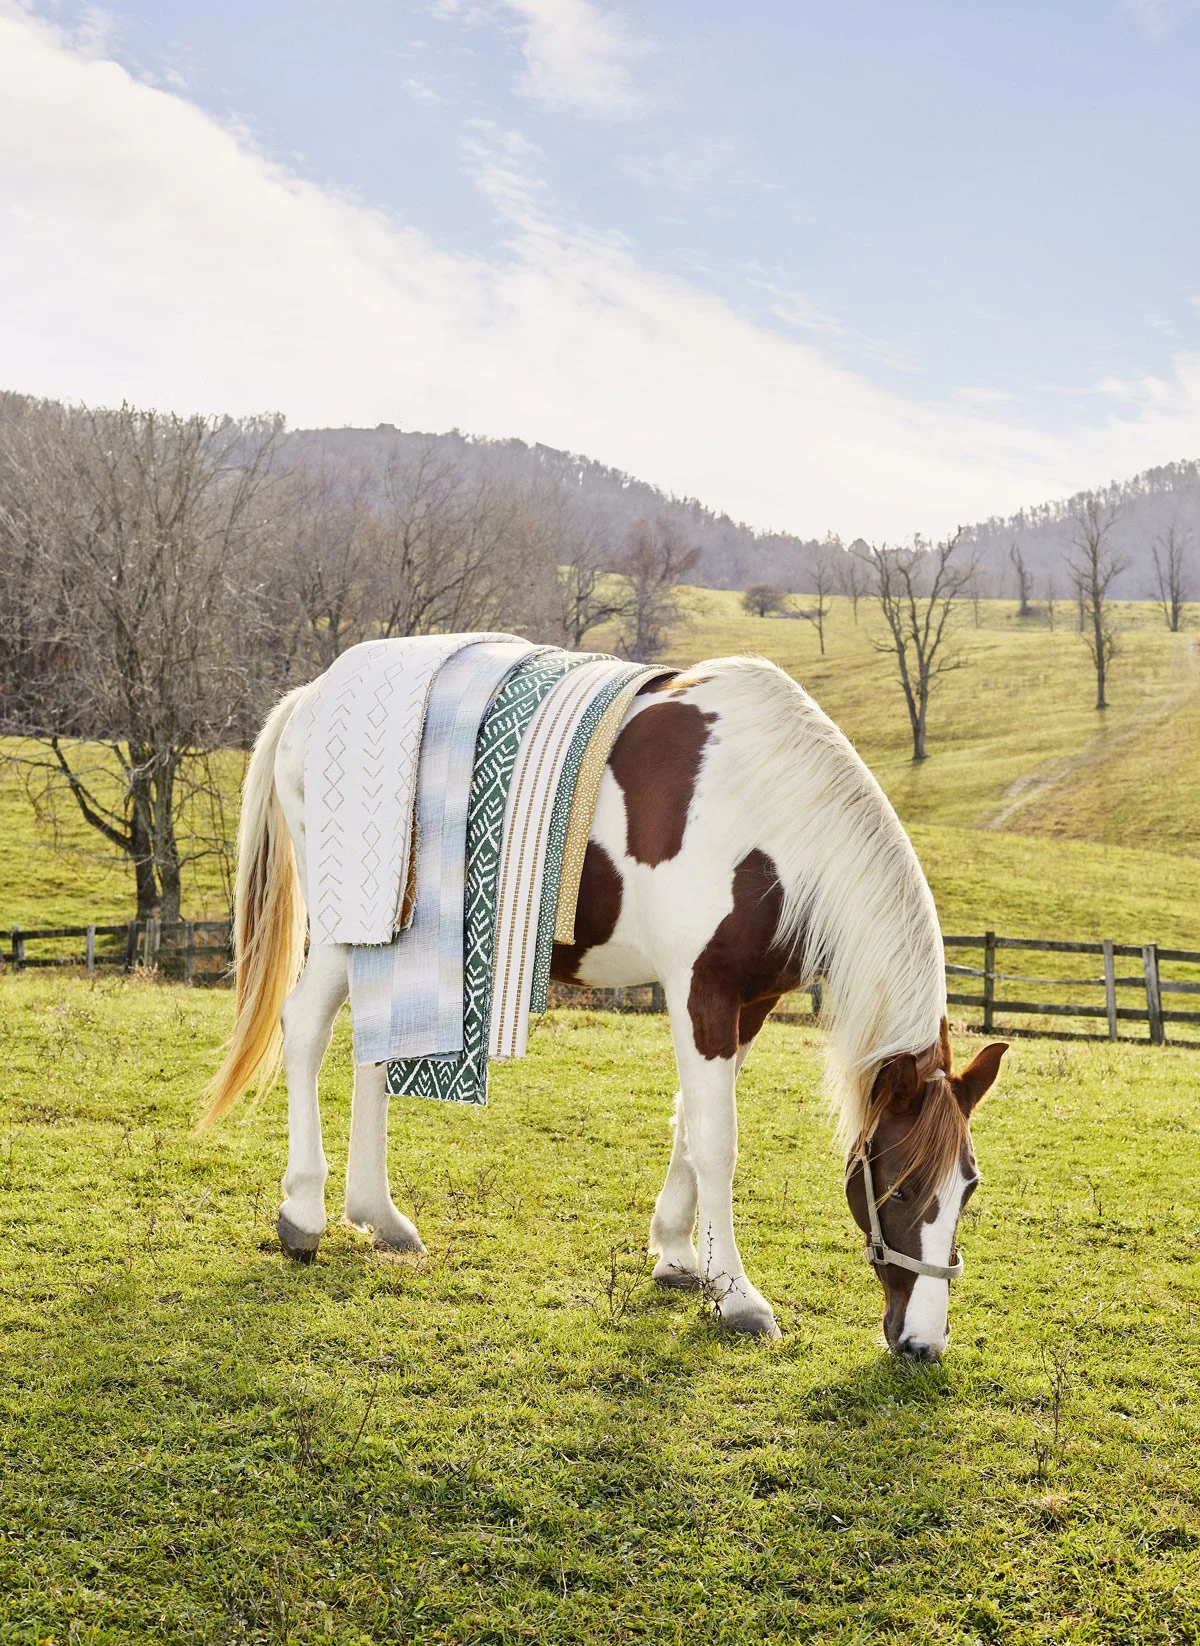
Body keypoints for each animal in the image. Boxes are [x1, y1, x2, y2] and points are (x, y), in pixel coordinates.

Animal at [204, 653, 1007, 1359]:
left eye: (967, 1189)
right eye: (903, 1188)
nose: (922, 1343)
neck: (768, 817)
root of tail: (311, 697)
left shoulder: (747, 1005)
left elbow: (691, 1124)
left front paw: (679, 1256)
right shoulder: (700, 992)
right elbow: (717, 1140)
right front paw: (738, 1297)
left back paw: (380, 1217)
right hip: (349, 932)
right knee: (305, 1031)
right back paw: (303, 1213)